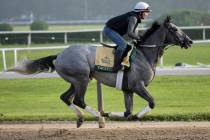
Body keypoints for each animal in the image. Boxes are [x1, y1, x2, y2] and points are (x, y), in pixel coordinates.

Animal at [7, 16, 193, 128]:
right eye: (175, 29)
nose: (189, 41)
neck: (144, 55)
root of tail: (59, 55)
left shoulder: (128, 90)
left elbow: (128, 112)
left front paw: (126, 115)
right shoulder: (138, 86)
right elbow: (152, 102)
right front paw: (135, 117)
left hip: (77, 80)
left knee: (66, 98)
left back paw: (81, 119)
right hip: (81, 78)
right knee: (79, 100)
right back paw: (100, 116)